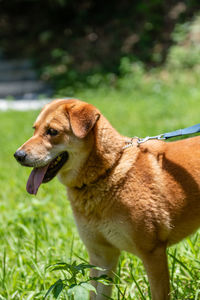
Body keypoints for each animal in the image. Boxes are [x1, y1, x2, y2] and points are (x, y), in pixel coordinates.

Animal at [14, 98, 200, 298]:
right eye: (34, 129)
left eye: (52, 131)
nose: (18, 155)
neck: (106, 171)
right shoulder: (101, 255)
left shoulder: (153, 253)